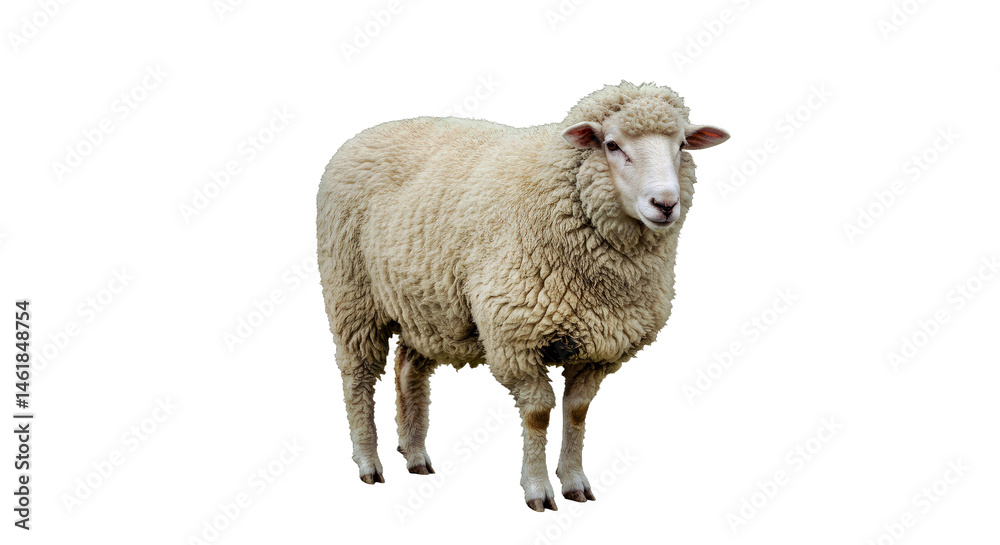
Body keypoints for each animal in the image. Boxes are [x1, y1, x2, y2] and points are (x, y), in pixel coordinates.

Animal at [317, 81, 729, 511]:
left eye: (681, 145)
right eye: (612, 145)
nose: (665, 204)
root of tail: (364, 135)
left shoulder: (599, 346)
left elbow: (577, 412)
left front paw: (575, 481)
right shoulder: (516, 336)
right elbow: (538, 414)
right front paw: (538, 489)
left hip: (428, 306)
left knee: (409, 370)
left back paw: (415, 456)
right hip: (351, 295)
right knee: (358, 377)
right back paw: (369, 461)